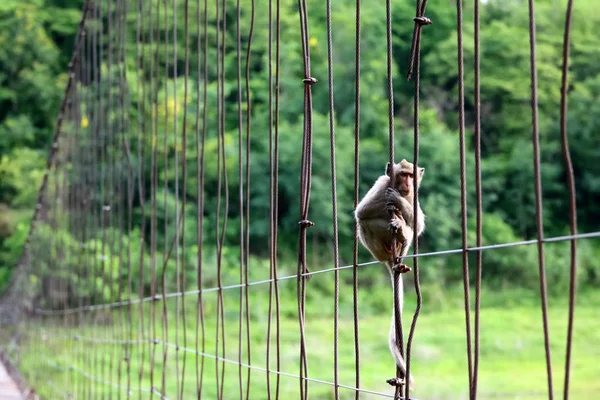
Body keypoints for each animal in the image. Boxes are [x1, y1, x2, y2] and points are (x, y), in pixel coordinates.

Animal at [354, 158, 424, 390]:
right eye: (402, 175)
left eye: (411, 175)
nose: (407, 183)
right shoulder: (381, 184)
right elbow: (362, 211)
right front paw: (393, 199)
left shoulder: (413, 195)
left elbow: (418, 226)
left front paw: (399, 202)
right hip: (376, 248)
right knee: (365, 221)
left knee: (409, 230)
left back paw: (401, 236)